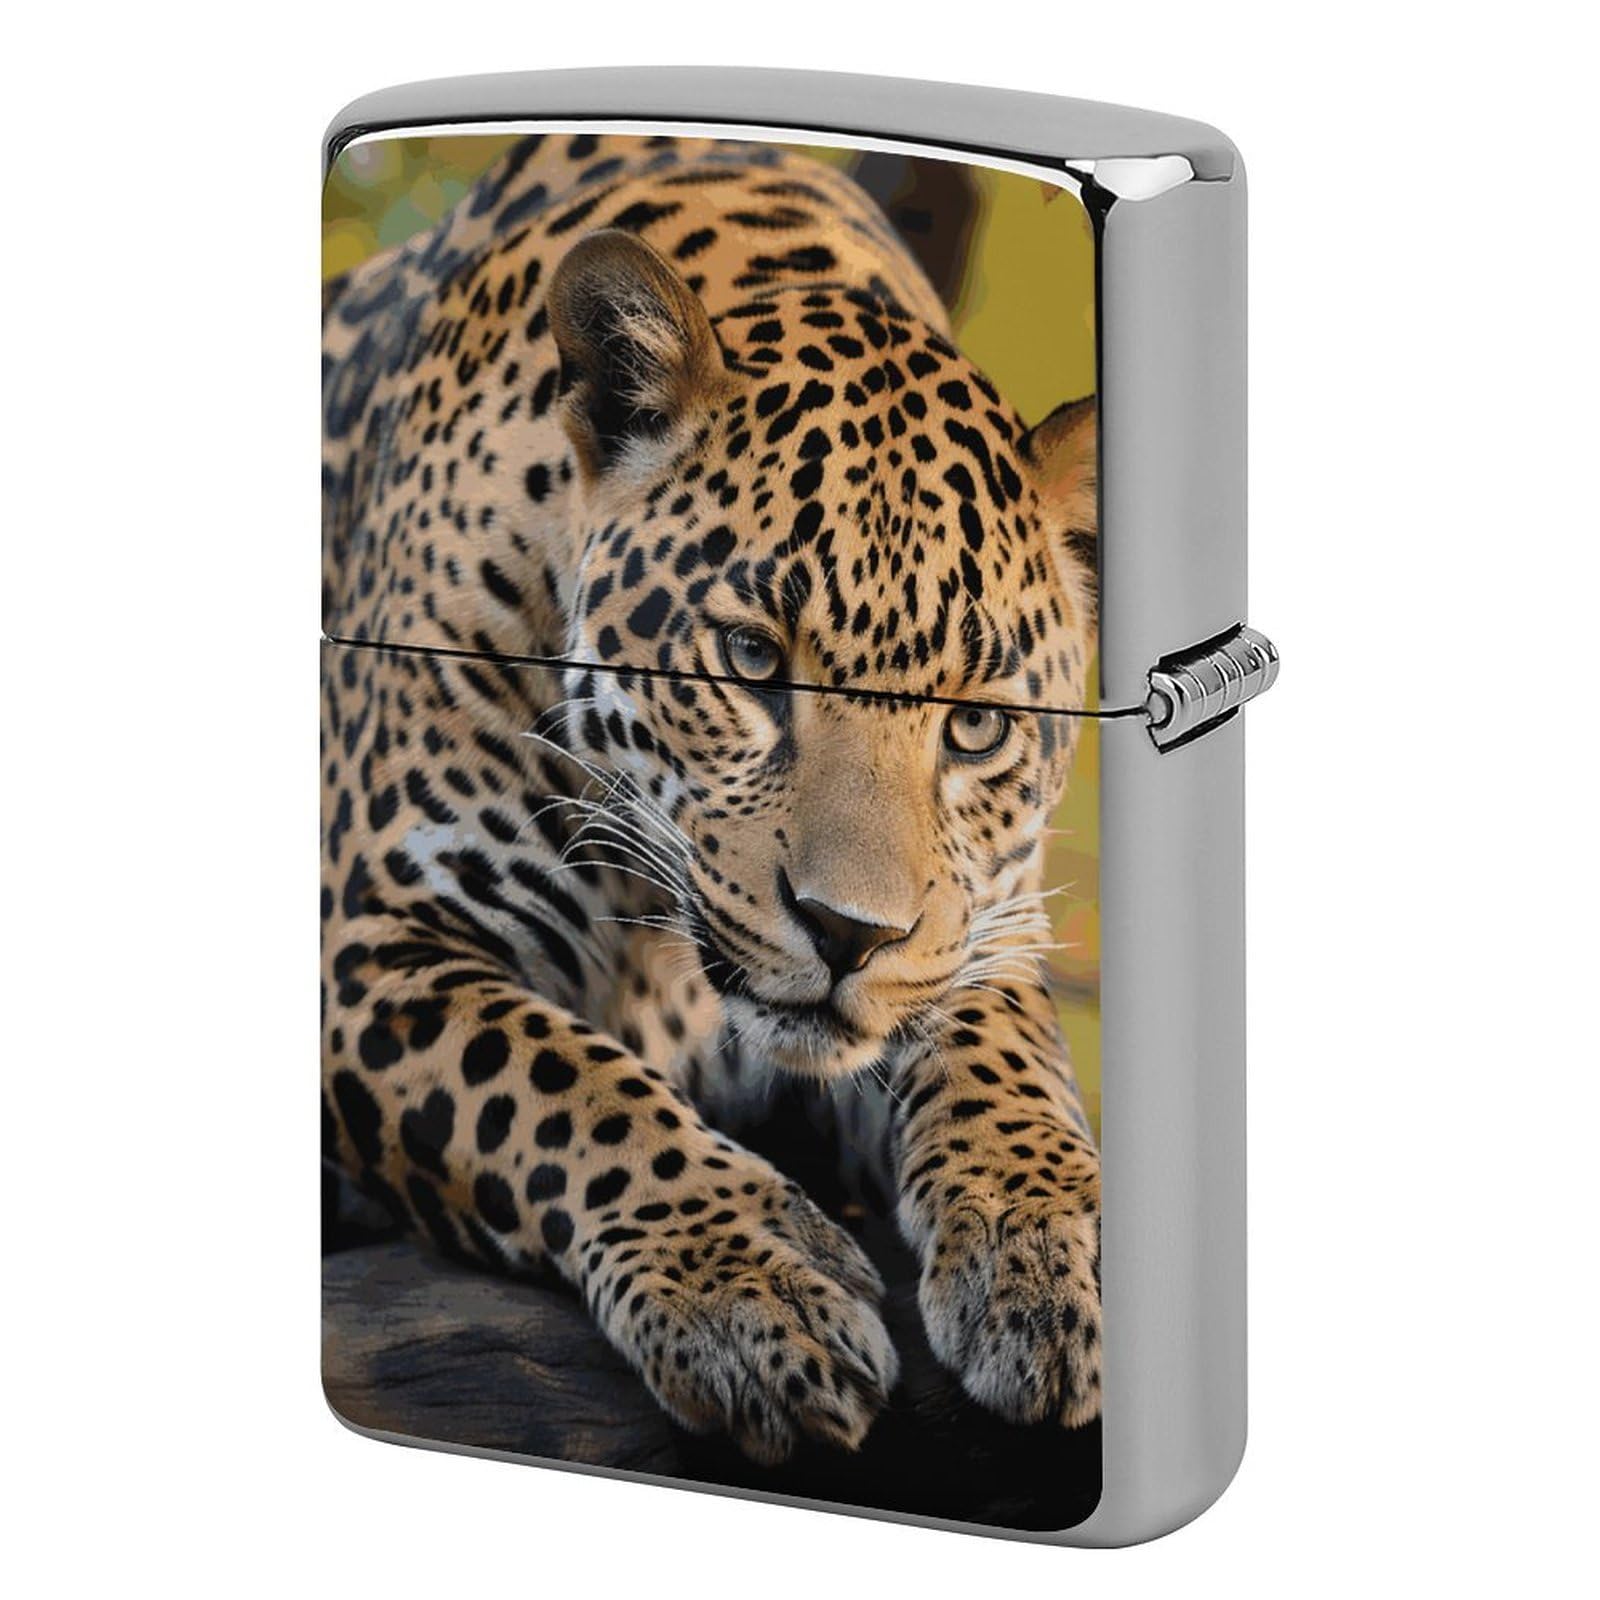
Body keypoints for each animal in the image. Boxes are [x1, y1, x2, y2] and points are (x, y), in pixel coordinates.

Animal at [321, 131, 1102, 1465]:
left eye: (975, 724)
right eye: (748, 657)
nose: (847, 934)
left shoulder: (976, 929)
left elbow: (1005, 1057)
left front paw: (1047, 1245)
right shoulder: (375, 938)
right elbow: (562, 1085)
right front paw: (751, 1289)